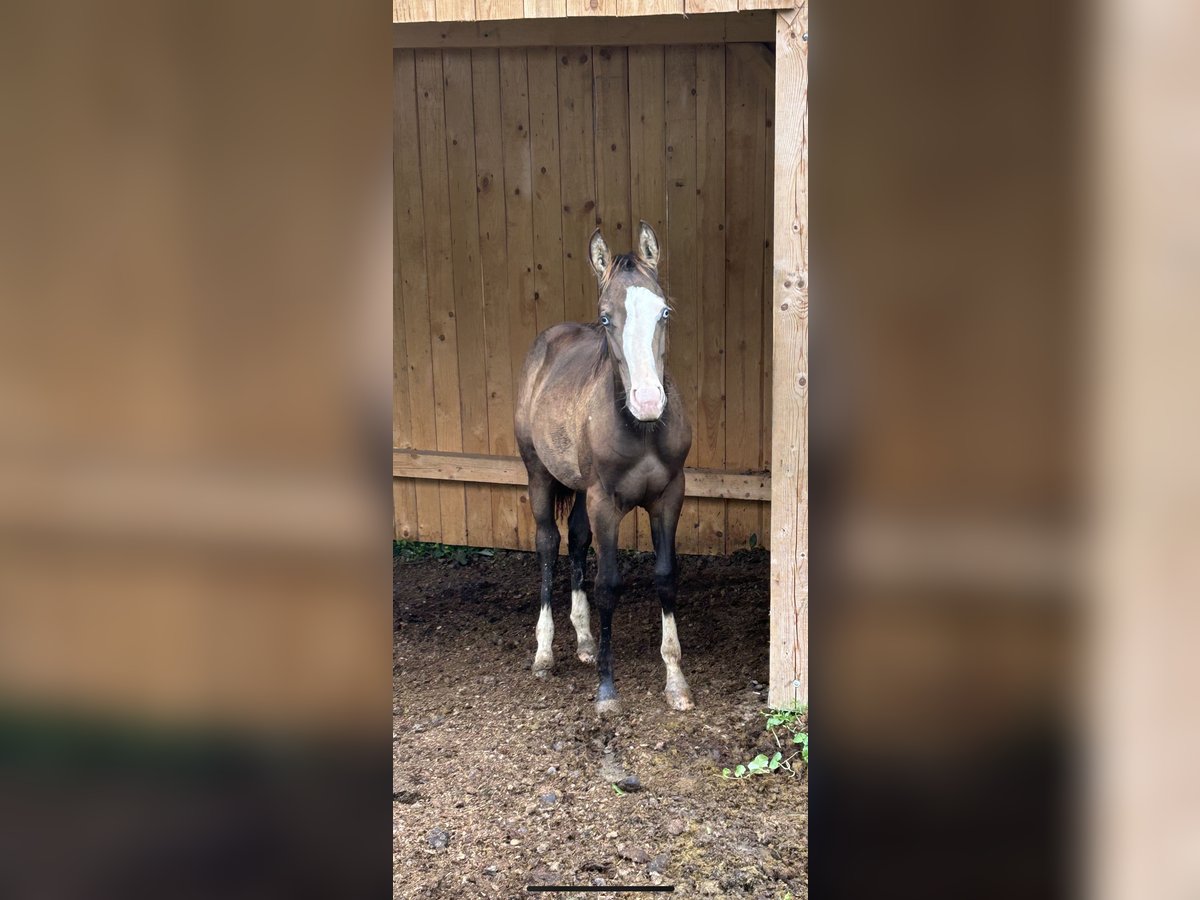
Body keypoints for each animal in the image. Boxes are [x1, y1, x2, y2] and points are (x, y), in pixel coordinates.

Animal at [513, 222, 696, 715]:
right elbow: (608, 585)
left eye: (664, 311)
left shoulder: (669, 496)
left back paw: (585, 641)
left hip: (578, 488)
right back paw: (544, 653)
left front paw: (676, 682)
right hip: (540, 476)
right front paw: (607, 691)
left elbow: (666, 578)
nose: (648, 402)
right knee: (548, 544)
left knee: (575, 539)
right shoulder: (605, 503)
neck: (642, 431)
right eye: (607, 318)